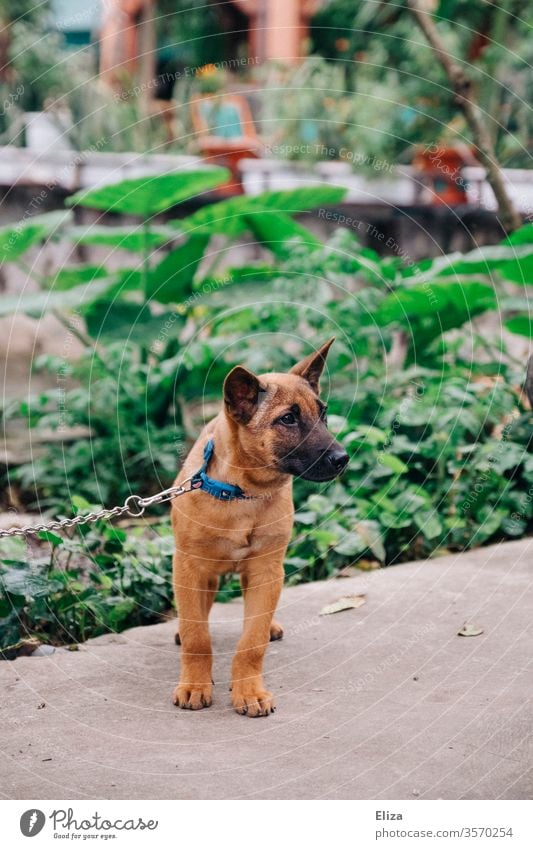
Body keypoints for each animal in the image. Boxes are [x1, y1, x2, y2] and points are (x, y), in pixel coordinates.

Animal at [168, 338, 348, 716]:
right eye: (288, 418)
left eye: (323, 413)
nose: (343, 459)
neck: (243, 494)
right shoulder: (189, 568)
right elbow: (197, 636)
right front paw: (195, 684)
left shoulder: (266, 570)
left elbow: (251, 642)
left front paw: (248, 690)